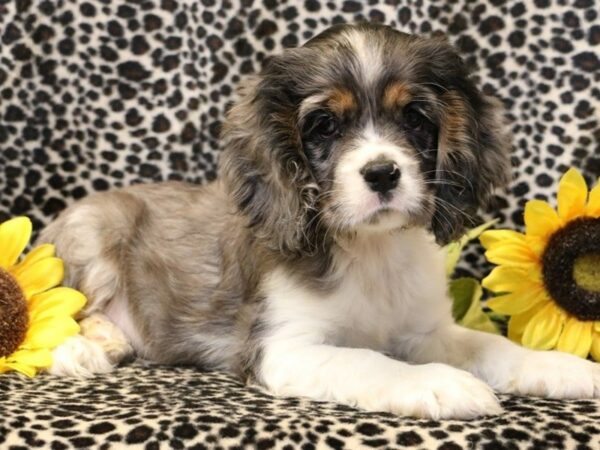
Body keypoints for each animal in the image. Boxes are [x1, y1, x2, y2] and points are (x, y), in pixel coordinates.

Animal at [42, 23, 600, 418]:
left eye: (415, 118)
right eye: (325, 125)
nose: (382, 172)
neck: (370, 250)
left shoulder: (425, 331)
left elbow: (493, 344)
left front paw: (560, 365)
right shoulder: (284, 348)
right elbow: (369, 360)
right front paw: (437, 382)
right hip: (94, 230)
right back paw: (84, 348)